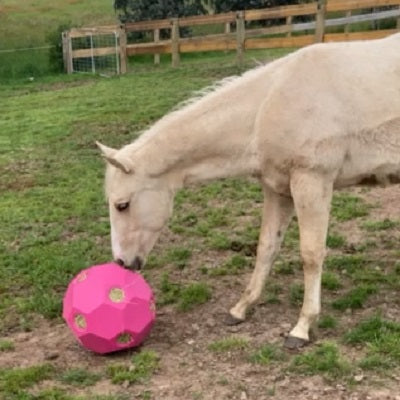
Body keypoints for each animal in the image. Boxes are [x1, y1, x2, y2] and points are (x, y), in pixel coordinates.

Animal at [97, 32, 400, 348]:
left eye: (122, 205)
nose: (122, 263)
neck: (266, 108)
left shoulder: (312, 182)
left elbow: (311, 254)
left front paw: (302, 327)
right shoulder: (278, 190)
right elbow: (266, 247)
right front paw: (241, 308)